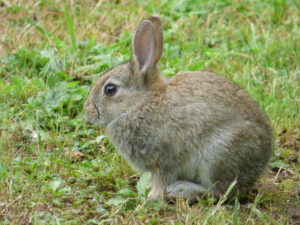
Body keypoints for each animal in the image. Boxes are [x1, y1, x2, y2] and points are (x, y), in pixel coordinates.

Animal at [84, 15, 272, 202]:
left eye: (110, 89)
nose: (88, 112)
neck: (140, 104)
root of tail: (260, 164)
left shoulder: (166, 157)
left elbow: (163, 178)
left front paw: (153, 197)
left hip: (216, 157)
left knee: (220, 192)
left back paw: (182, 190)